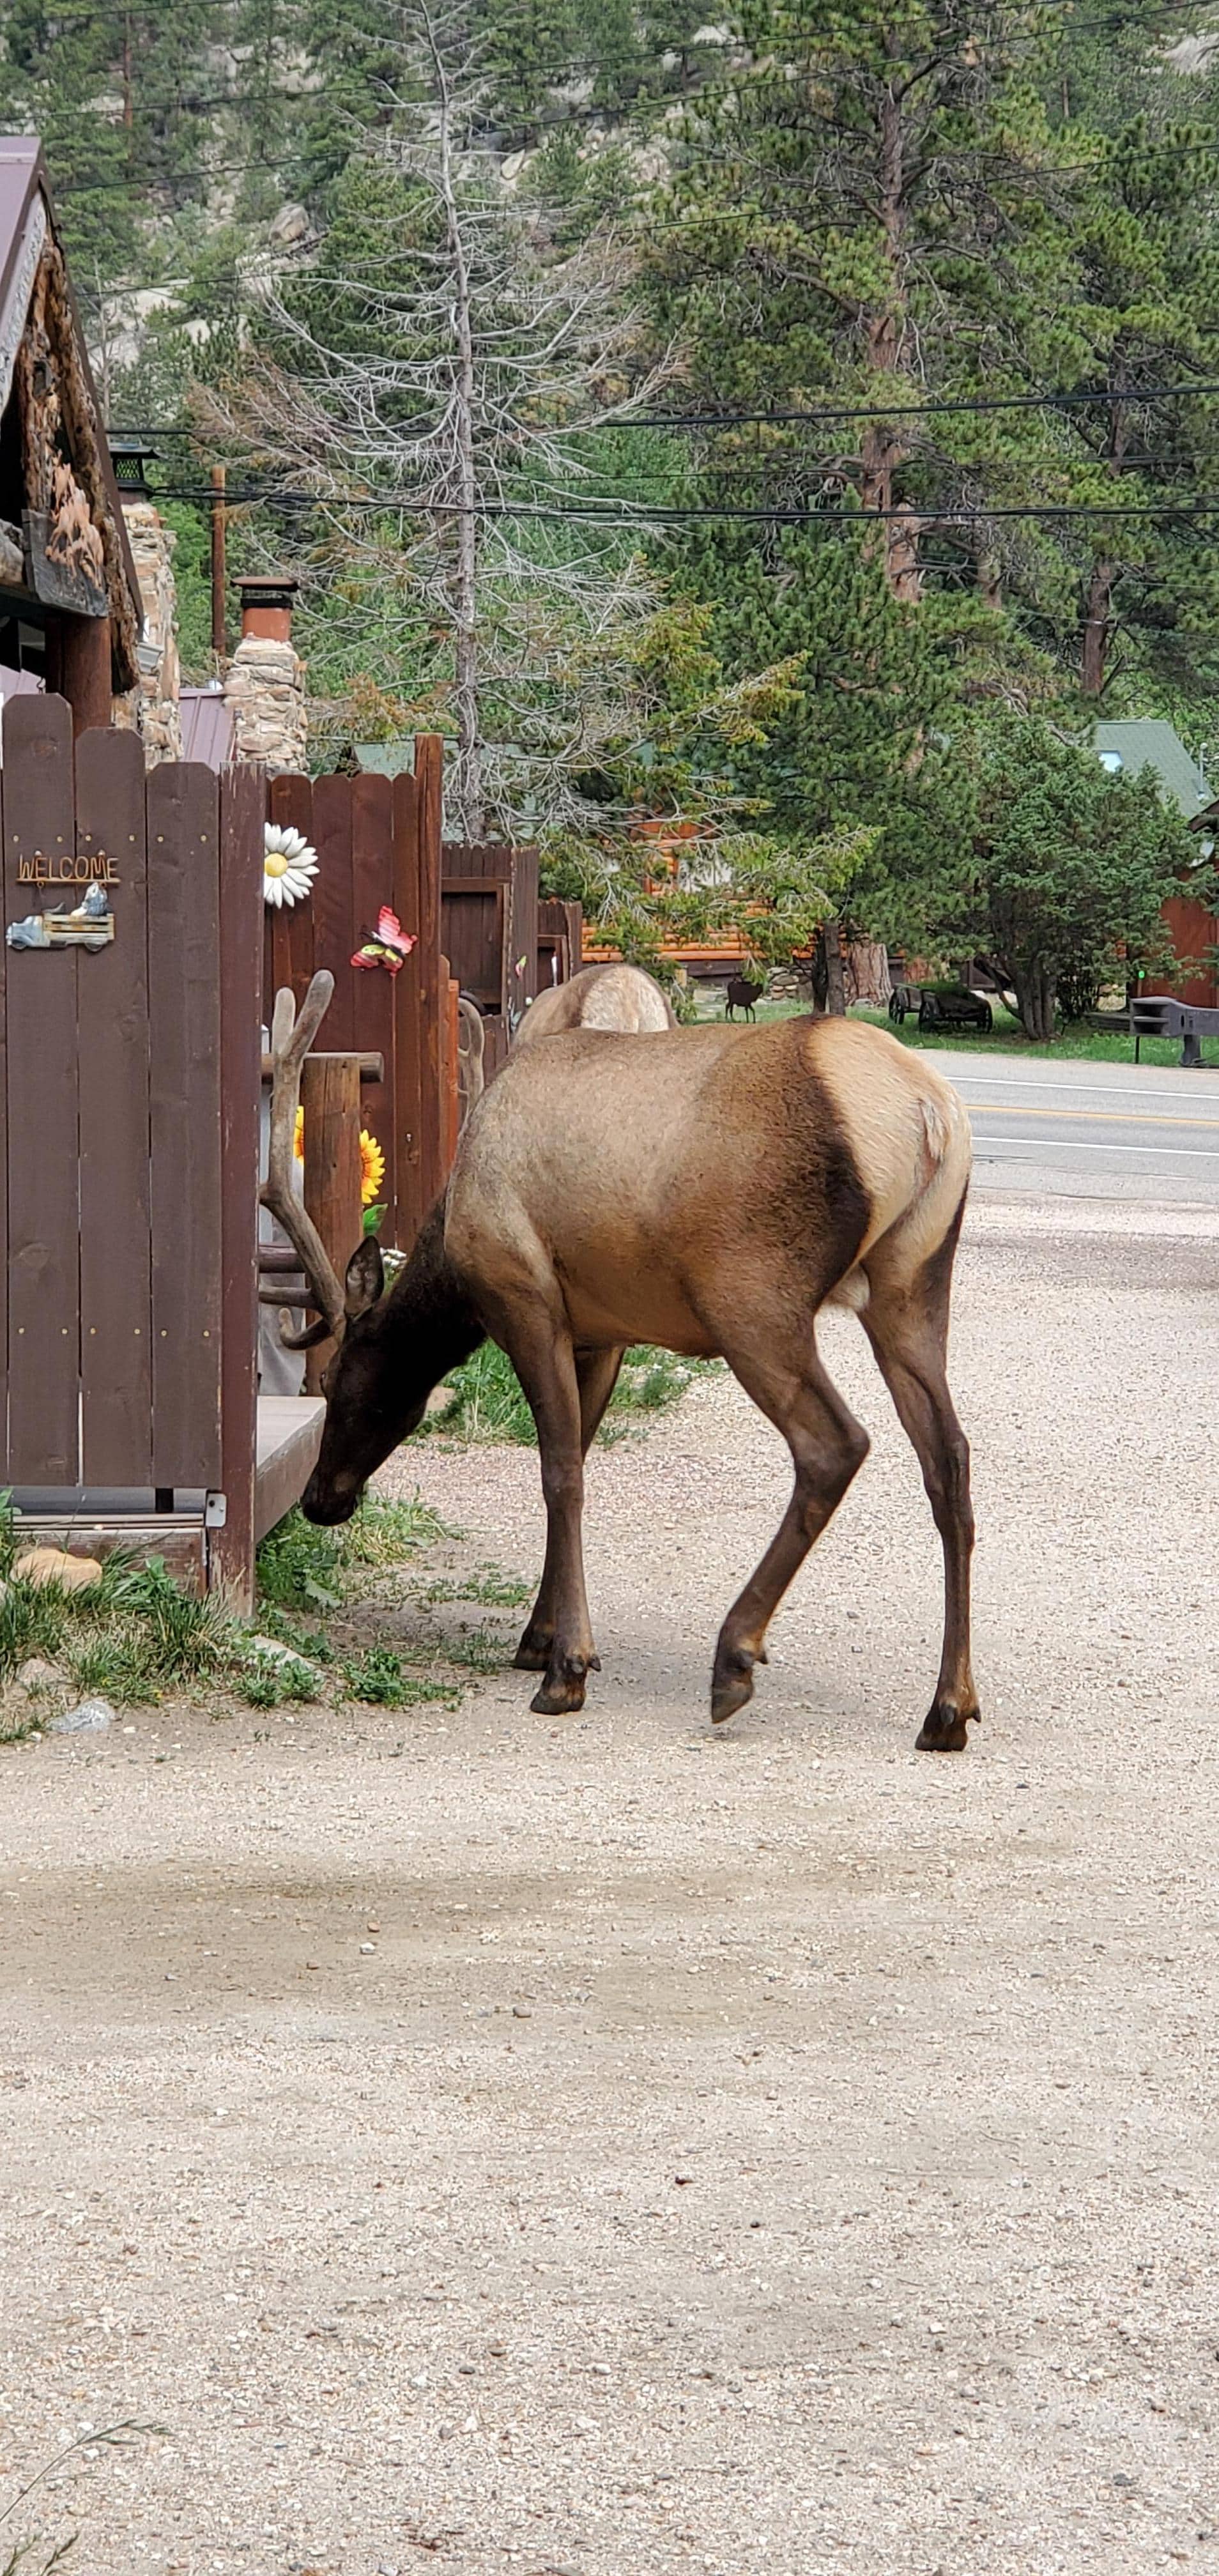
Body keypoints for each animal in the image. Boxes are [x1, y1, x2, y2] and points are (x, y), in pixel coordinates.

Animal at [263, 973, 979, 1752]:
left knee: (836, 1445)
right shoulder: (604, 1333)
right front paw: (540, 1635)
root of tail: (928, 1117)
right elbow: (577, 1452)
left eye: (337, 1384)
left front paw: (566, 1668)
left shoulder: (526, 1297)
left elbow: (561, 1474)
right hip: (914, 1282)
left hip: (753, 1296)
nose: (320, 1499)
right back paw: (950, 1707)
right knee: (949, 1459)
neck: (454, 1247)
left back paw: (734, 1661)